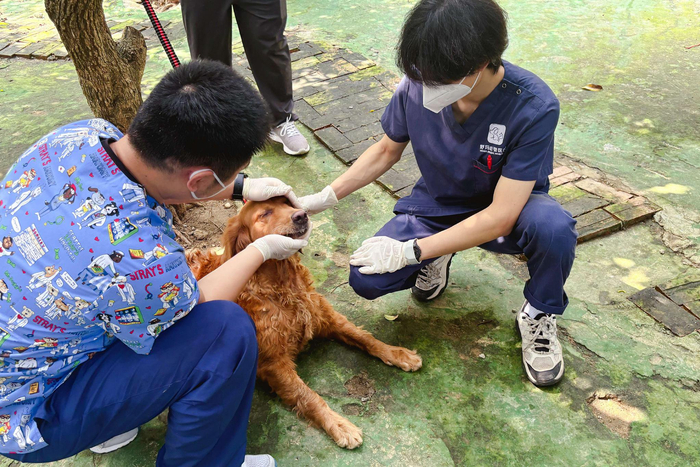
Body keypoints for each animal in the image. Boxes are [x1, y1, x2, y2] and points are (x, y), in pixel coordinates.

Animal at [185, 197, 422, 449]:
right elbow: (307, 395)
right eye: (265, 213)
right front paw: (338, 423)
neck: (281, 285)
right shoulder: (273, 363)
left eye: (286, 203)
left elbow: (365, 337)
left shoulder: (327, 317)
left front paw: (397, 353)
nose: (301, 215)